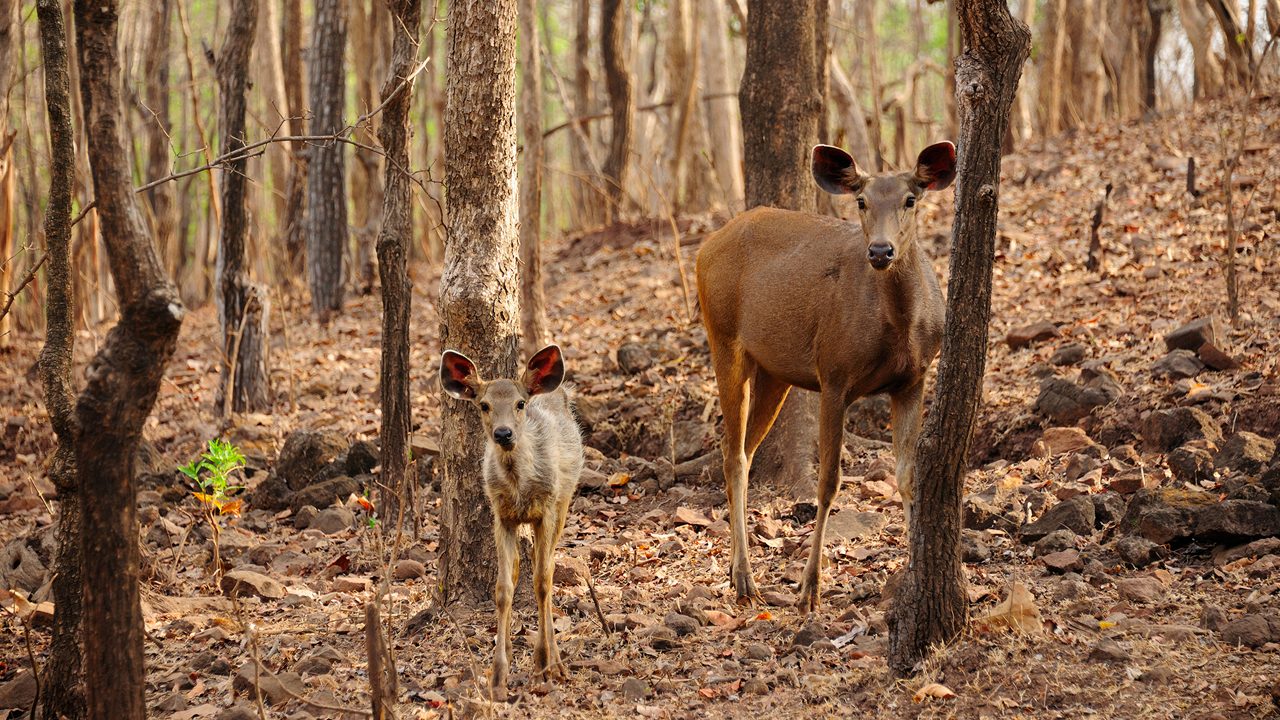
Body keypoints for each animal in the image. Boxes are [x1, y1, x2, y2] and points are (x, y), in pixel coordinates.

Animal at [439, 344, 584, 699]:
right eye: (484, 405)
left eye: (519, 404)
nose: (503, 433)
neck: (520, 486)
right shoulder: (501, 515)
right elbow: (503, 588)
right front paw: (498, 676)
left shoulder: (547, 509)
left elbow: (543, 581)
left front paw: (544, 665)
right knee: (520, 568)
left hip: (564, 500)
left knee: (547, 569)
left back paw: (555, 662)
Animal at [695, 141, 956, 613]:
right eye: (861, 201)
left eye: (911, 199)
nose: (881, 251)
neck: (899, 328)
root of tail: (704, 248)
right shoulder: (834, 375)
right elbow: (829, 482)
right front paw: (809, 587)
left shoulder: (913, 380)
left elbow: (907, 475)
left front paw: (912, 571)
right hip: (723, 338)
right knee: (734, 453)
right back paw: (744, 578)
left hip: (775, 371)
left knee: (743, 448)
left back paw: (737, 570)